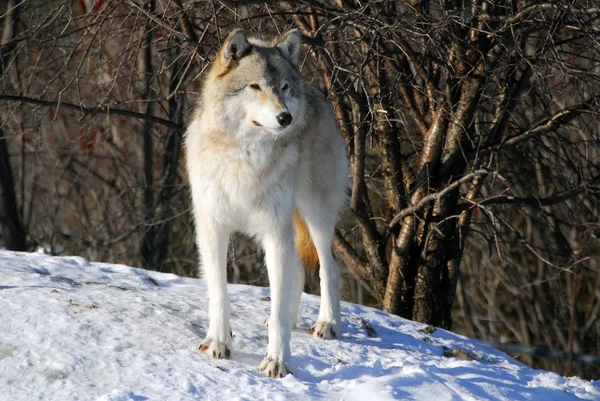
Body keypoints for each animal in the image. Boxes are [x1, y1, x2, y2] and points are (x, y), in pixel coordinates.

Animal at [185, 27, 350, 376]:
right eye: (256, 86)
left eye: (284, 88)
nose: (285, 117)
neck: (244, 157)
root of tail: (317, 93)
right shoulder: (212, 229)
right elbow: (219, 293)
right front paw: (218, 343)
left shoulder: (275, 232)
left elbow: (278, 314)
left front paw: (278, 361)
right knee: (298, 272)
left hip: (314, 214)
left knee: (328, 267)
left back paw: (328, 323)